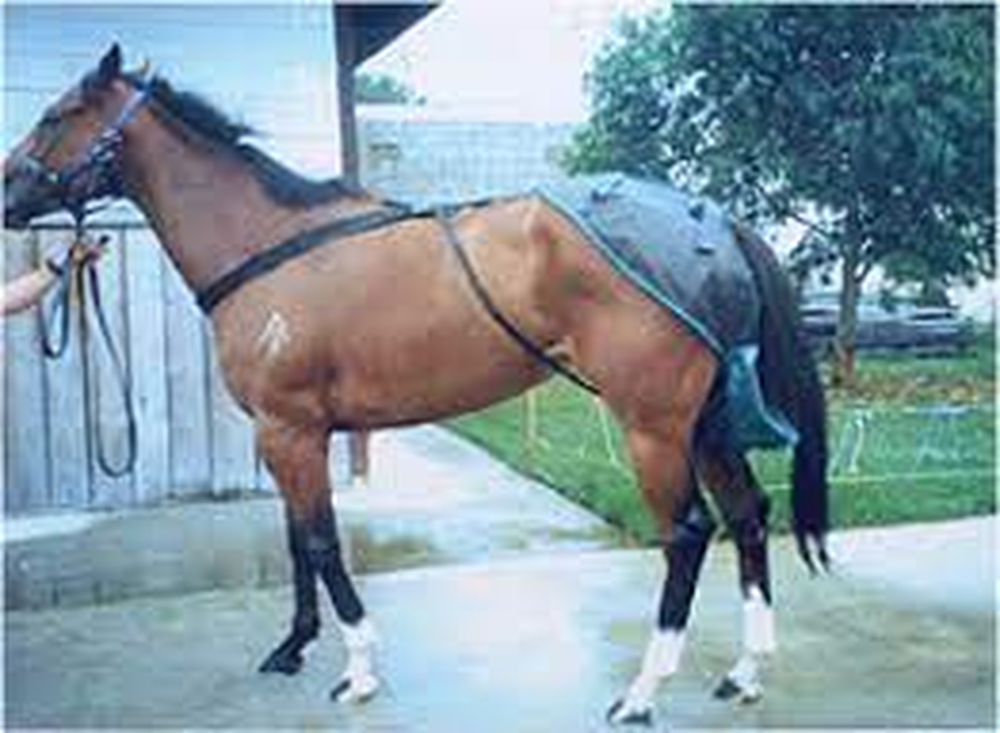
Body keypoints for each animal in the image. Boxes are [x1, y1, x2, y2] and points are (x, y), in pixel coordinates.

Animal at [3, 46, 829, 726]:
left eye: (55, 116)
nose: (6, 195)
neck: (272, 247)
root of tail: (712, 222)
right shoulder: (285, 434)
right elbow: (298, 538)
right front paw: (292, 647)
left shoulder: (289, 427)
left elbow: (321, 541)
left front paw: (359, 669)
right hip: (707, 421)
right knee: (749, 515)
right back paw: (744, 673)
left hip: (653, 425)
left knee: (688, 532)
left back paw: (641, 692)